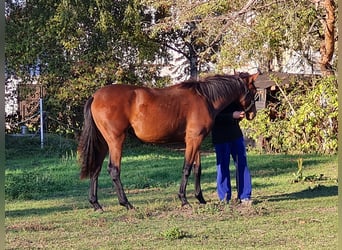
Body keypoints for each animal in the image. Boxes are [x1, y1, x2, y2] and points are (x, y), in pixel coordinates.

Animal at [77, 72, 258, 211]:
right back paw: (126, 203)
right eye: (254, 92)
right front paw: (184, 200)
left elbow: (197, 169)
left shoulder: (196, 140)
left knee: (96, 169)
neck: (205, 98)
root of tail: (94, 96)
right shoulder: (193, 140)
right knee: (113, 170)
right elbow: (186, 168)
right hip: (116, 141)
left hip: (102, 143)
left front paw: (200, 198)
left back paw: (96, 204)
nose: (252, 114)